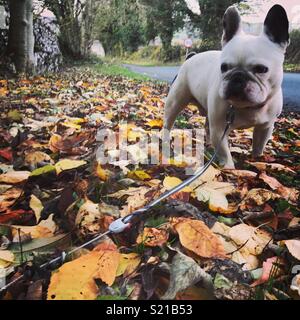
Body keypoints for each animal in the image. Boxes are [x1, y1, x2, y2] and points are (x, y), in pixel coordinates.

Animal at [163, 4, 290, 168]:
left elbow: (259, 145)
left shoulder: (265, 127)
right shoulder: (219, 129)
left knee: (207, 127)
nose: (237, 77)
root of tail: (190, 57)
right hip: (176, 100)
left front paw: (257, 159)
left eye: (261, 69)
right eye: (223, 67)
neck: (246, 107)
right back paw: (166, 140)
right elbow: (224, 151)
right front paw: (229, 168)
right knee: (168, 121)